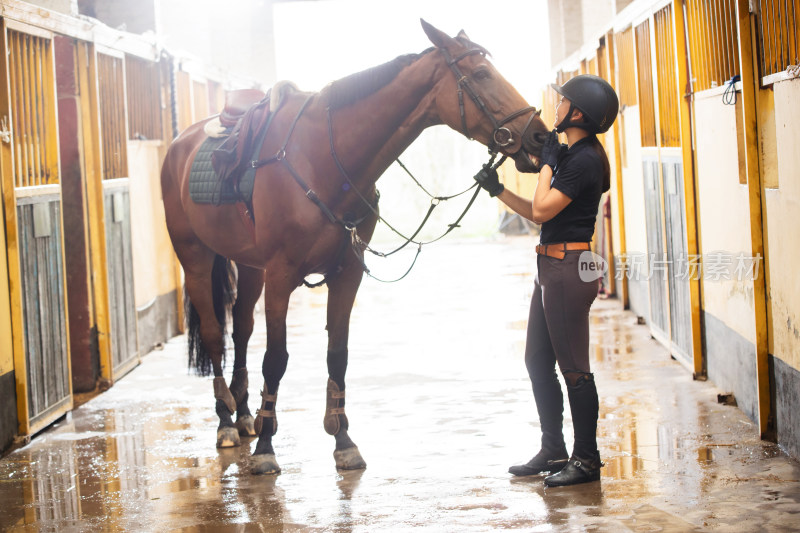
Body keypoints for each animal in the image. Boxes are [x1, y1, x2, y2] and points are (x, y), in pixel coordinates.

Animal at [162, 19, 552, 474]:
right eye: (481, 74)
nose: (540, 136)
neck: (324, 159)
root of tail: (179, 146)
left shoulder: (347, 272)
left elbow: (338, 354)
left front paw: (343, 440)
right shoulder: (281, 276)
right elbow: (275, 359)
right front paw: (266, 448)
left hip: (251, 267)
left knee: (241, 329)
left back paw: (243, 417)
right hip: (196, 257)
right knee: (214, 334)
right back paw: (226, 422)